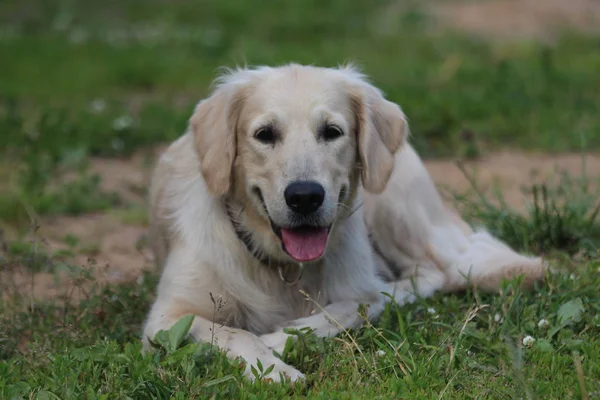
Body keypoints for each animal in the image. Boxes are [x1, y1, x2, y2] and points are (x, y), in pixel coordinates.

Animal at [142, 64, 548, 382]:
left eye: (332, 132)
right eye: (264, 134)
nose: (305, 196)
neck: (285, 268)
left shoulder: (356, 289)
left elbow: (351, 307)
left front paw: (280, 340)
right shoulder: (166, 318)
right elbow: (230, 333)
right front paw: (274, 369)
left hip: (393, 200)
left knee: (433, 273)